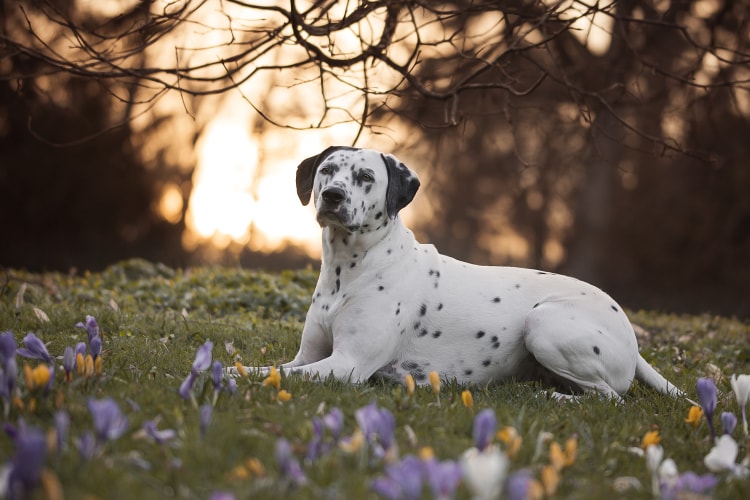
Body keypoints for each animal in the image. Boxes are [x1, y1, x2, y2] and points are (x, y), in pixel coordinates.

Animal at [232, 146, 684, 400]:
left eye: (365, 176)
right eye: (327, 170)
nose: (332, 196)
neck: (349, 268)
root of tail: (632, 338)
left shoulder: (346, 365)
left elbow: (272, 375)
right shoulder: (308, 356)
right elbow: (274, 368)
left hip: (544, 322)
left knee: (611, 398)